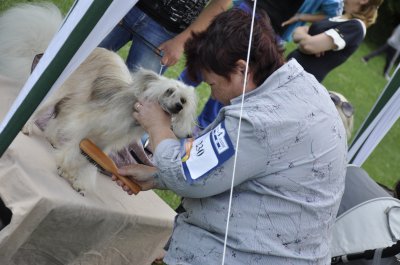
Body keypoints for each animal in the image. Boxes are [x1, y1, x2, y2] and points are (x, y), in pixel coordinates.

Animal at [0, 3, 197, 191]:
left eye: (184, 100)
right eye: (169, 91)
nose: (178, 106)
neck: (131, 115)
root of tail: (96, 49)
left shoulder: (103, 143)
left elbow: (89, 162)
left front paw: (77, 178)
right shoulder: (86, 125)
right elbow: (75, 149)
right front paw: (66, 167)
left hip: (79, 98)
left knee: (61, 114)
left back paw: (53, 138)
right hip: (61, 89)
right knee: (42, 107)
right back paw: (27, 126)